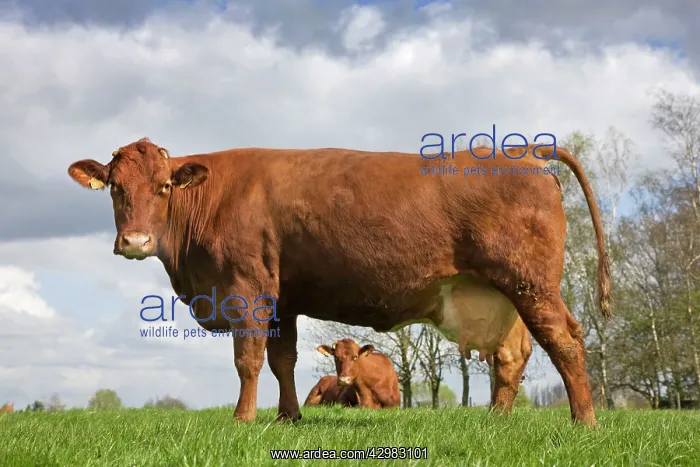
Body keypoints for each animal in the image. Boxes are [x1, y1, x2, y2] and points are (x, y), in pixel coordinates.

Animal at [67, 137, 612, 427]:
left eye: (163, 187)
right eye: (115, 187)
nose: (135, 241)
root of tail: (522, 152)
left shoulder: (247, 289)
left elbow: (248, 360)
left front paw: (243, 419)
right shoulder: (282, 299)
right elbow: (282, 361)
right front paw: (288, 417)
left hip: (532, 284)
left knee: (564, 340)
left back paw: (584, 420)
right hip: (505, 293)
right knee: (513, 354)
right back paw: (497, 420)